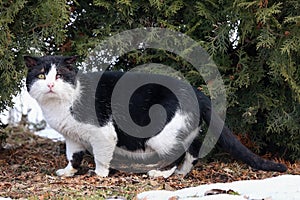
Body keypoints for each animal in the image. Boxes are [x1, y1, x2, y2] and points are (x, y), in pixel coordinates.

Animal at [24, 55, 288, 177]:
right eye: (41, 75)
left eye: (59, 76)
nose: (50, 85)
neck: (59, 105)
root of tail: (196, 91)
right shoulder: (72, 137)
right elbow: (73, 156)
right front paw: (67, 172)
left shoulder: (103, 133)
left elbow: (101, 157)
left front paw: (99, 174)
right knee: (194, 146)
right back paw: (181, 172)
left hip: (159, 135)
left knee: (180, 150)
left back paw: (161, 173)